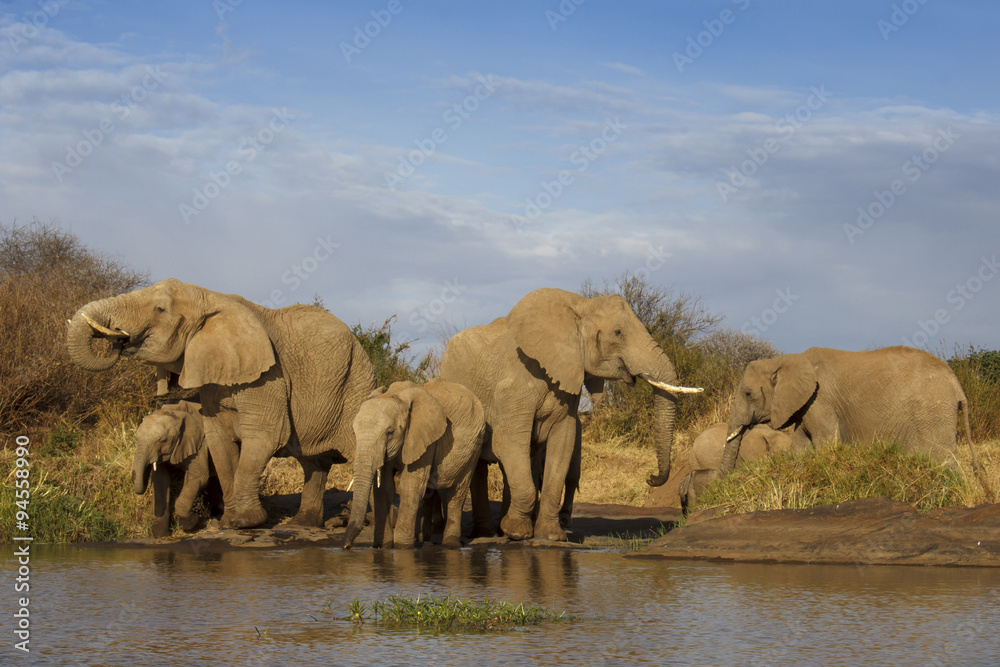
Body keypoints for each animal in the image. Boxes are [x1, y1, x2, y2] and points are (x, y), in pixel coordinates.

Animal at [133, 400, 222, 537]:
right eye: (137, 438)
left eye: (163, 440)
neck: (176, 412)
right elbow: (160, 481)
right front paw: (161, 534)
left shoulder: (200, 443)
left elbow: (198, 476)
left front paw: (191, 522)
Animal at [343, 378, 486, 549]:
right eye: (354, 432)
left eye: (390, 432)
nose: (346, 546)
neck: (396, 395)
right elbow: (384, 488)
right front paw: (383, 546)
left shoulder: (425, 438)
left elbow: (409, 484)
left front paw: (402, 547)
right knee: (429, 491)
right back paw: (422, 539)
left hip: (474, 446)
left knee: (457, 490)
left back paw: (450, 544)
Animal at [438, 288, 701, 542]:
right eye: (617, 333)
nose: (651, 478)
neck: (580, 306)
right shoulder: (514, 384)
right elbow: (509, 442)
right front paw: (517, 533)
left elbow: (562, 444)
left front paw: (551, 535)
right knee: (481, 465)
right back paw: (487, 533)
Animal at [720, 346, 979, 476]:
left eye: (748, 394)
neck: (785, 359)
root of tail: (957, 386)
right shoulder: (806, 406)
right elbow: (801, 444)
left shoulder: (820, 400)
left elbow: (825, 443)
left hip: (931, 412)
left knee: (943, 460)